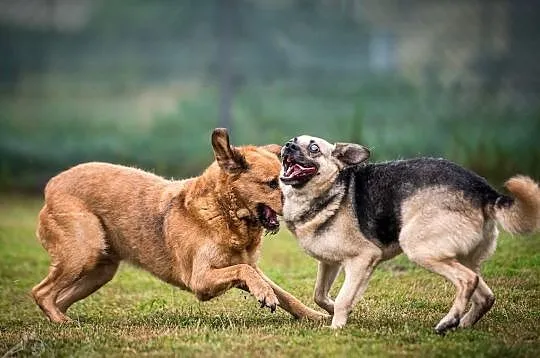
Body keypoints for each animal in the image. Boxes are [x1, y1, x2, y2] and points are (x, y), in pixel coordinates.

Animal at [34, 129, 330, 324]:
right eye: (271, 183)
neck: (224, 213)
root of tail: (51, 185)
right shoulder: (200, 279)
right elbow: (245, 272)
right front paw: (264, 294)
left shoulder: (246, 268)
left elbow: (284, 294)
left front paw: (314, 316)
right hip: (85, 252)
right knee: (41, 293)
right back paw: (63, 324)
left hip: (100, 271)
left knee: (57, 297)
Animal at [278, 135, 540, 332]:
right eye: (293, 140)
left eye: (313, 148)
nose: (288, 146)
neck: (332, 189)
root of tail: (484, 191)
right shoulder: (329, 263)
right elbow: (320, 295)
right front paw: (335, 312)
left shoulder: (364, 259)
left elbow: (343, 298)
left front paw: (337, 326)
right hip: (460, 256)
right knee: (485, 295)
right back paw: (462, 324)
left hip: (420, 248)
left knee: (467, 280)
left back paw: (449, 321)